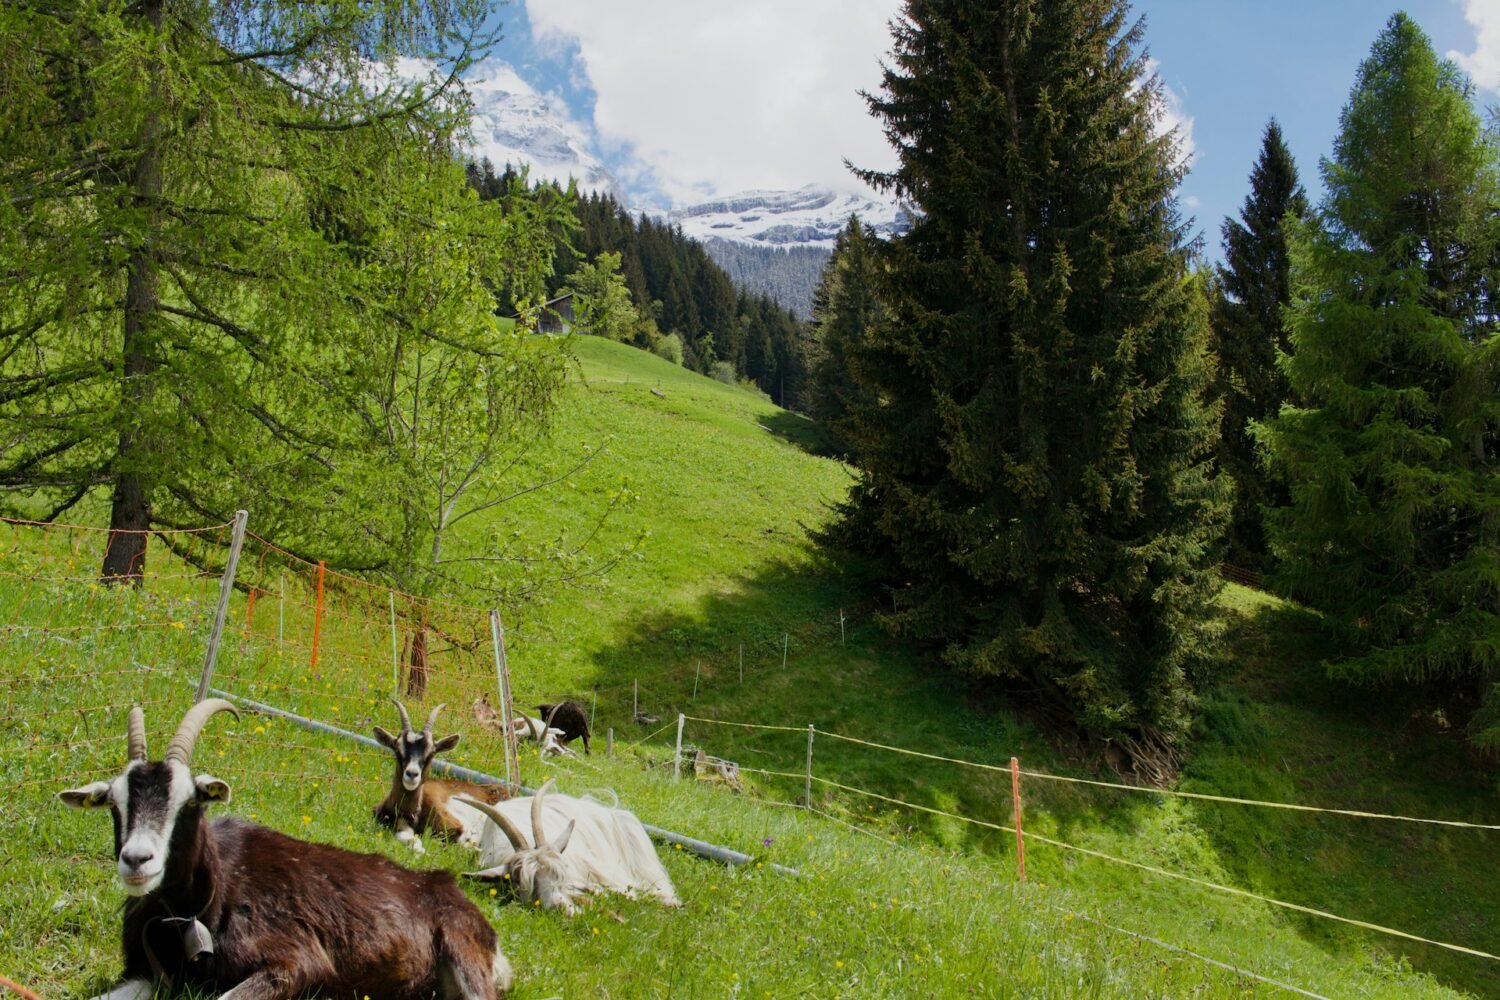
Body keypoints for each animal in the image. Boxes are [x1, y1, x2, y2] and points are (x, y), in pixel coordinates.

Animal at [373, 699, 509, 854]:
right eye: (397, 749)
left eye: (431, 753)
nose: (412, 774)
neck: (413, 814)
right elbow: (411, 840)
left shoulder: (460, 825)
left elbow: (466, 843)